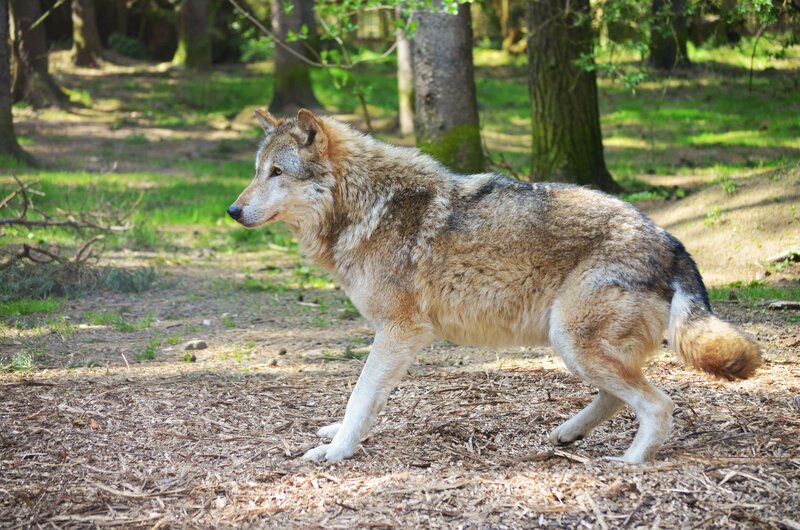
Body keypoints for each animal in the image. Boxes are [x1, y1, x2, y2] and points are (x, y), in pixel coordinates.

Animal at [227, 108, 761, 464]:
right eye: (255, 172)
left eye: (277, 172)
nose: (232, 210)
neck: (364, 206)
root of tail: (671, 241)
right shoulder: (396, 338)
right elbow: (367, 400)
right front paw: (340, 435)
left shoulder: (400, 332)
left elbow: (360, 395)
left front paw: (336, 451)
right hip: (575, 347)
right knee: (617, 398)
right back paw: (567, 435)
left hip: (572, 342)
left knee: (658, 405)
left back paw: (629, 463)